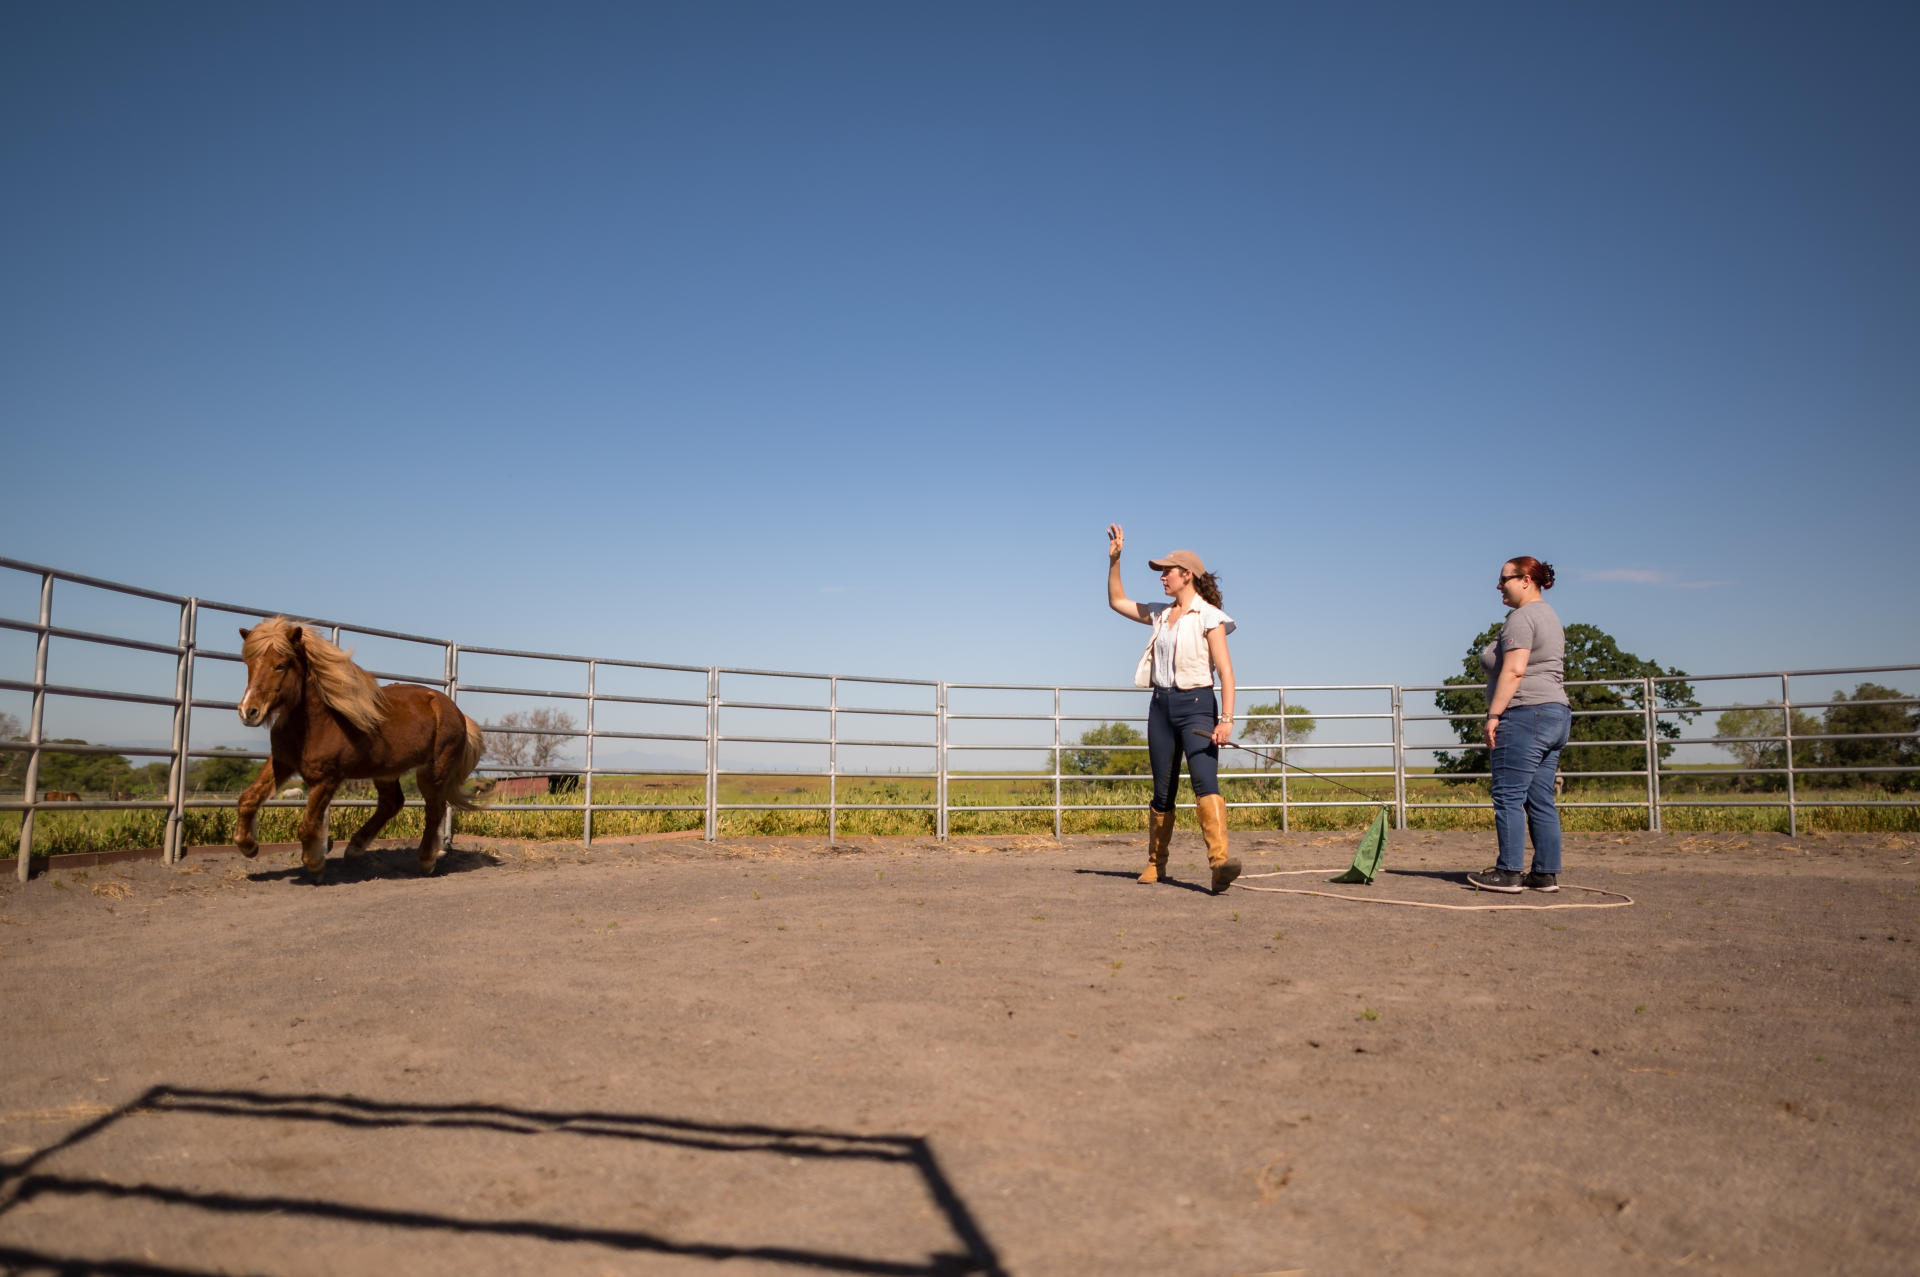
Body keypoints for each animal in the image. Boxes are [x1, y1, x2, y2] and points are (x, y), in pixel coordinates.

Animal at [234, 618, 487, 875]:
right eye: (249, 663)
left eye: (281, 665)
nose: (248, 711)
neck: (319, 722)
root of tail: (456, 711)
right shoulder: (281, 762)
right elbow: (248, 799)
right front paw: (248, 846)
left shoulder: (327, 779)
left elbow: (307, 825)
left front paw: (314, 863)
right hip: (386, 772)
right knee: (391, 803)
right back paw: (355, 848)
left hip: (433, 771)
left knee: (434, 809)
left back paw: (426, 860)